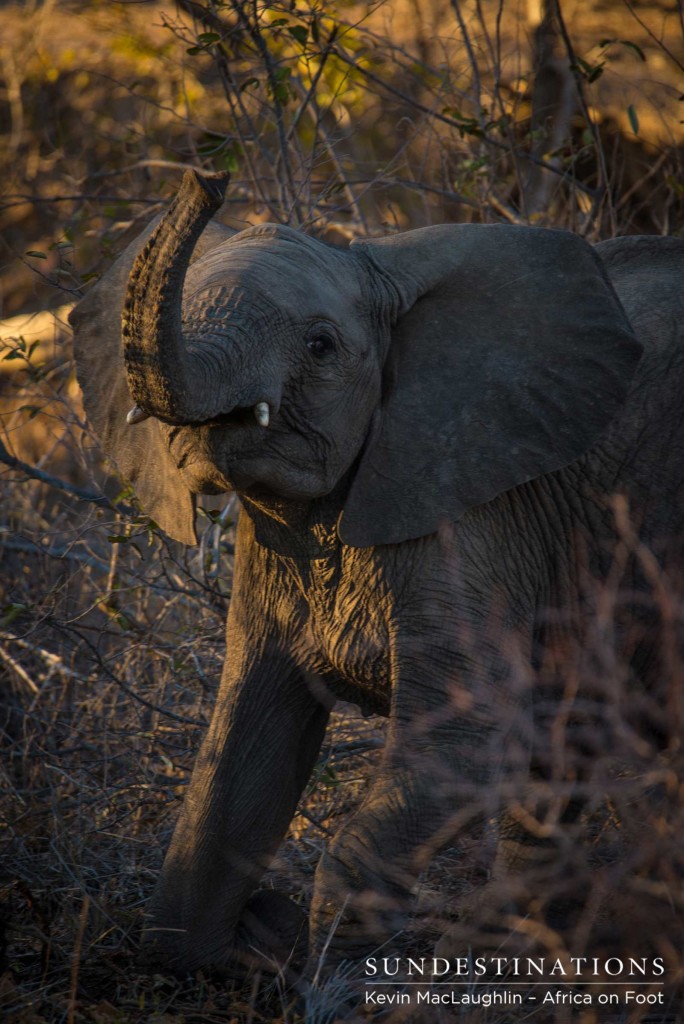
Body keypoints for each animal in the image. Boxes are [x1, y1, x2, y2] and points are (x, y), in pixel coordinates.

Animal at [70, 169, 684, 974]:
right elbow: (247, 742)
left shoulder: (478, 513)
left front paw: (338, 970)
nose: (208, 177)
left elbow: (472, 733)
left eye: (321, 346)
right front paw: (223, 952)